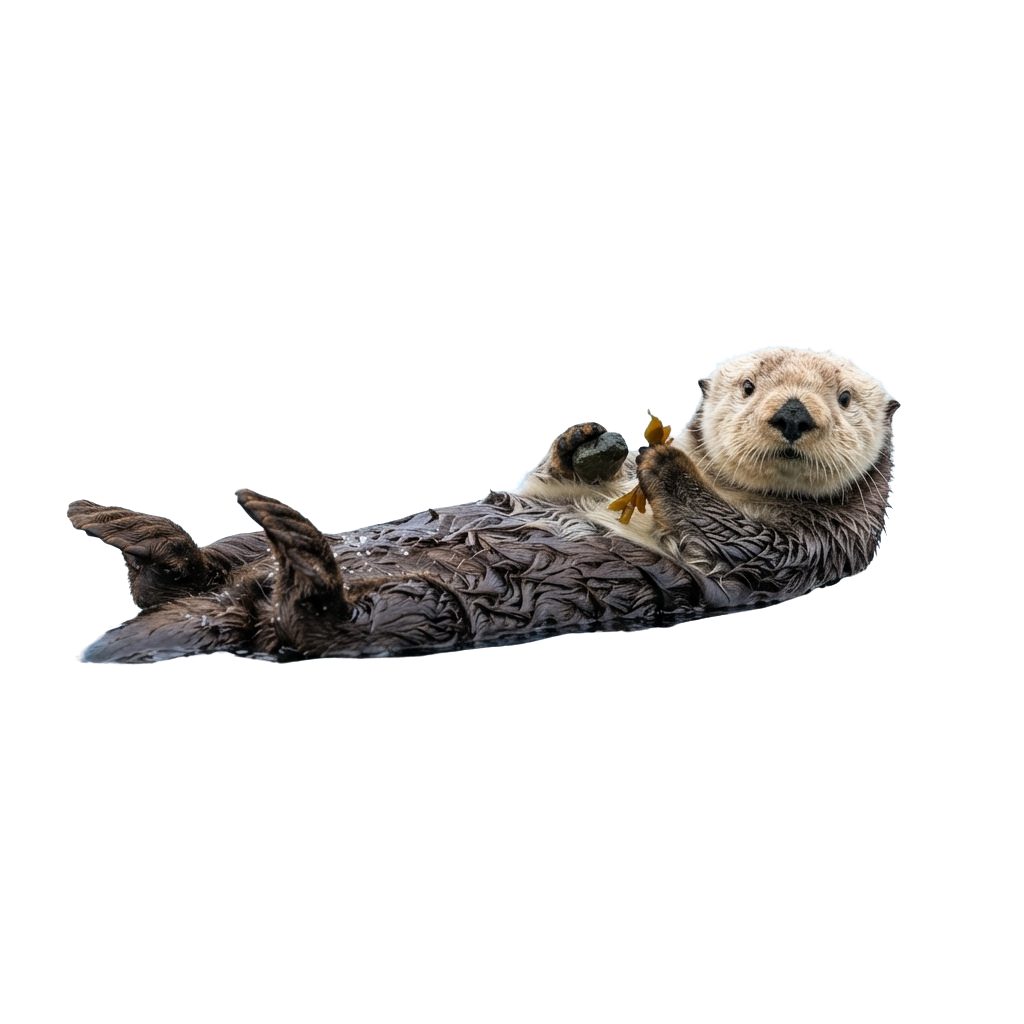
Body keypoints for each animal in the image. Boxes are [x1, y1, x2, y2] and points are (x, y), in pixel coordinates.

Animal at [68, 346, 897, 663]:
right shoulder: (562, 488)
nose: (792, 414)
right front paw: (592, 438)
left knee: (316, 619)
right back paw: (131, 529)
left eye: (844, 398)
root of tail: (230, 608)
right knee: (191, 568)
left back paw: (286, 540)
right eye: (750, 386)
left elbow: (741, 545)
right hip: (233, 563)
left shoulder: (816, 546)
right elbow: (547, 481)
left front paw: (666, 462)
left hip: (416, 609)